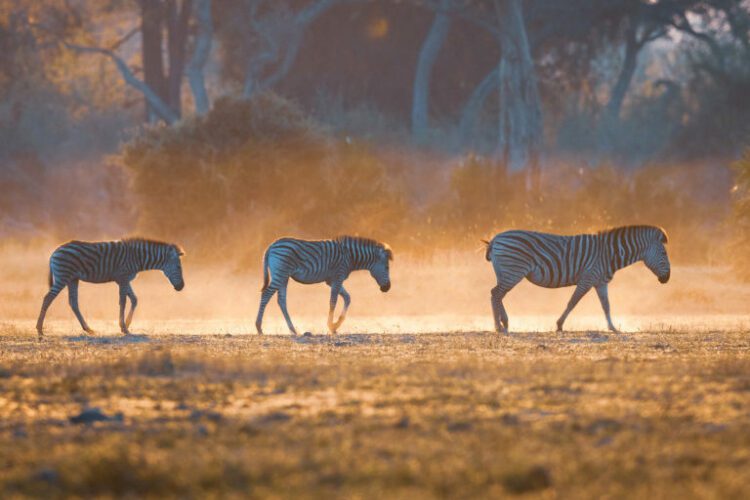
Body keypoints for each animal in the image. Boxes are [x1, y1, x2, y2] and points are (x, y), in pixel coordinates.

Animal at [36, 237, 187, 336]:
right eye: (179, 267)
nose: (181, 287)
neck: (137, 257)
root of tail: (55, 251)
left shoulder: (124, 279)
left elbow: (134, 299)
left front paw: (127, 324)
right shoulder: (123, 277)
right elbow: (123, 301)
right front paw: (124, 327)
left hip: (73, 279)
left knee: (73, 303)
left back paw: (88, 329)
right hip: (63, 276)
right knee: (47, 298)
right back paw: (39, 329)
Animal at [256, 235, 394, 336]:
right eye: (387, 267)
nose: (387, 288)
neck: (350, 257)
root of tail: (271, 246)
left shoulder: (331, 280)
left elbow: (347, 298)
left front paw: (337, 324)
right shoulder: (338, 276)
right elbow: (333, 301)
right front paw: (331, 326)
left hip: (283, 276)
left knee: (281, 300)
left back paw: (293, 330)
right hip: (281, 272)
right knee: (266, 294)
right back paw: (259, 327)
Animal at [484, 225, 672, 334]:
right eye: (664, 253)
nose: (667, 279)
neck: (609, 254)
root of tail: (496, 238)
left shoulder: (600, 282)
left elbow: (606, 305)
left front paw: (613, 328)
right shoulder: (587, 279)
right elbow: (572, 302)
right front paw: (559, 325)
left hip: (506, 272)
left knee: (497, 295)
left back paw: (504, 323)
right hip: (513, 271)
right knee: (496, 294)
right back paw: (499, 326)